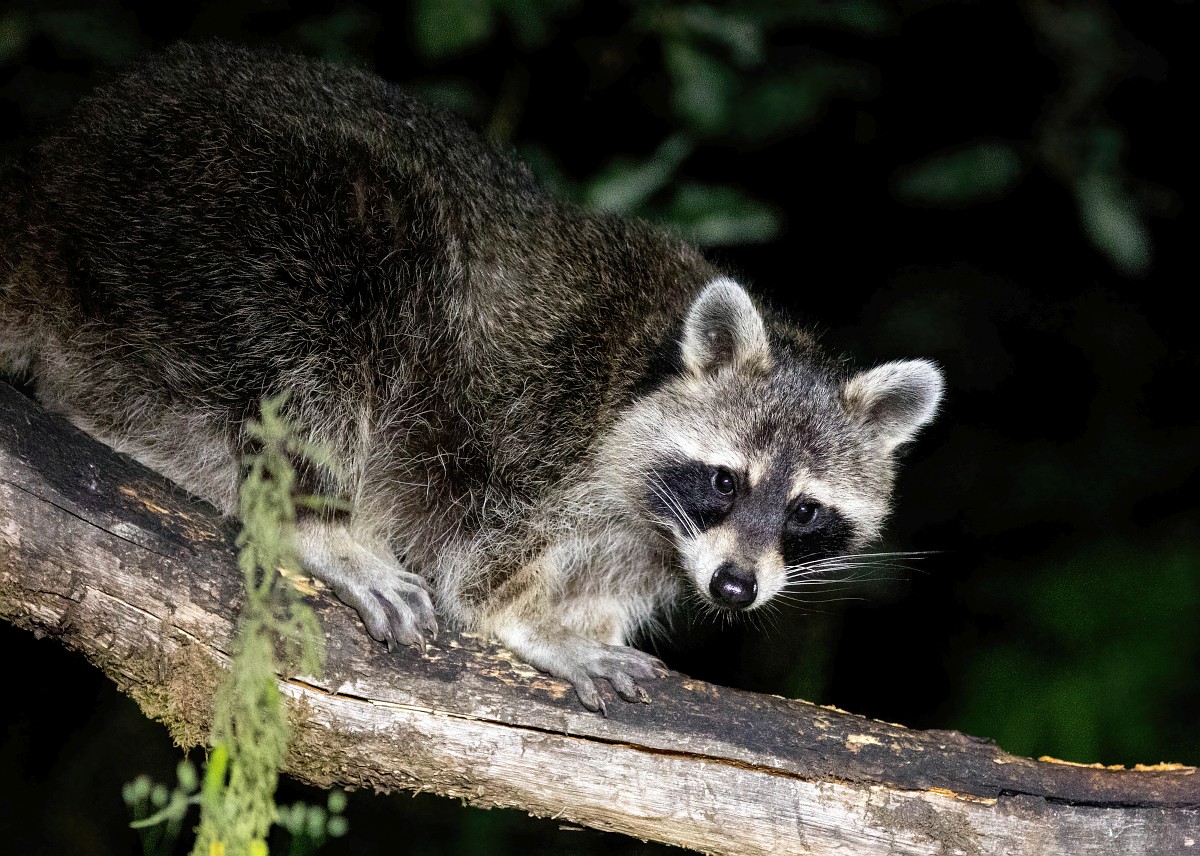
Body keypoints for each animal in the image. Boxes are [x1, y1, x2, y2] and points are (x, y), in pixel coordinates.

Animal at [0, 43, 943, 713]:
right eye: (724, 479)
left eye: (806, 511)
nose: (737, 589)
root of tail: (42, 196)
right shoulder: (544, 417)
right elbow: (481, 554)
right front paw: (519, 618)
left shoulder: (659, 537)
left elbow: (619, 578)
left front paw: (583, 613)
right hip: (217, 221)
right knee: (332, 330)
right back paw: (316, 519)